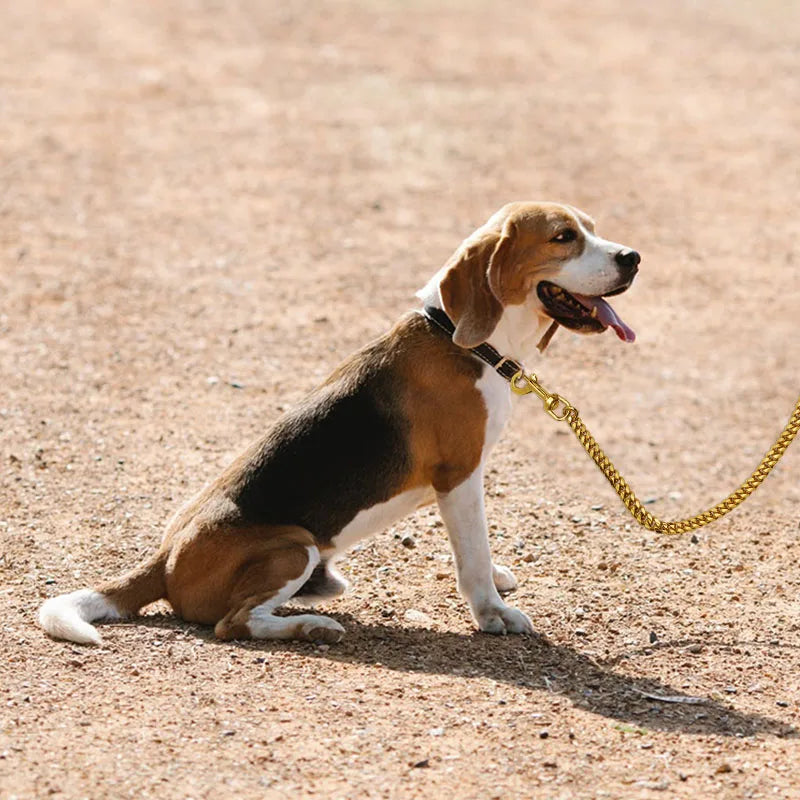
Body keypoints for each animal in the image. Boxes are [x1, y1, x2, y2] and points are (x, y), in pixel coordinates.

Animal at [36, 203, 636, 648]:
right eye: (563, 237)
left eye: (593, 229)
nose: (632, 257)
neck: (461, 339)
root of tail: (162, 562)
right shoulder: (459, 476)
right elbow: (473, 555)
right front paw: (492, 611)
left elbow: (478, 550)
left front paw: (498, 578)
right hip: (293, 547)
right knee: (234, 624)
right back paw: (310, 628)